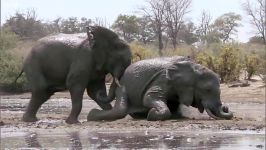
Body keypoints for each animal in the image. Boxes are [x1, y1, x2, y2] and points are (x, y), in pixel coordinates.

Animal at [87, 56, 233, 120]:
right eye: (207, 90)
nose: (226, 107)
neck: (193, 67)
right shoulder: (163, 79)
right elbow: (149, 97)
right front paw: (152, 114)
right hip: (122, 87)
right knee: (120, 109)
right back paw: (91, 115)